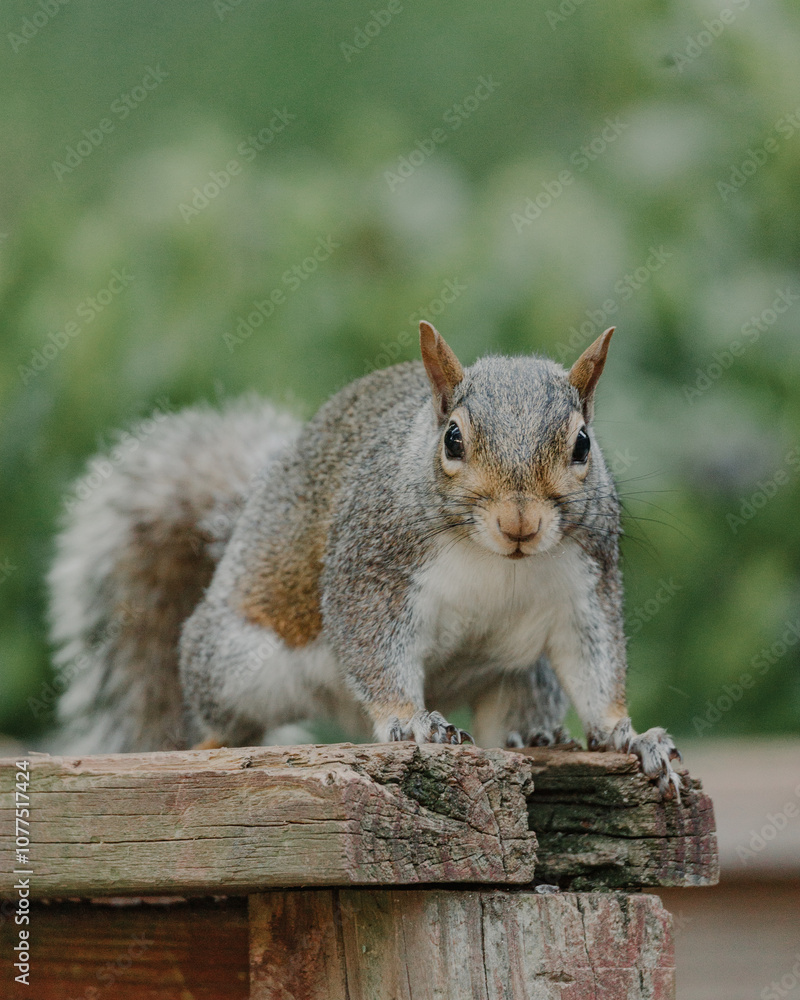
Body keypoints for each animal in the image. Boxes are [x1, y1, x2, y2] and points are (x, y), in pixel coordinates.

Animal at [48, 322, 683, 797]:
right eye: (453, 439)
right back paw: (214, 742)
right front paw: (410, 719)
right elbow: (373, 644)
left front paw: (628, 737)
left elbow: (596, 666)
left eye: (583, 444)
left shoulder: (586, 583)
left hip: (522, 673)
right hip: (240, 663)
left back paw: (537, 738)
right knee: (234, 715)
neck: (498, 558)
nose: (519, 523)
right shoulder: (372, 570)